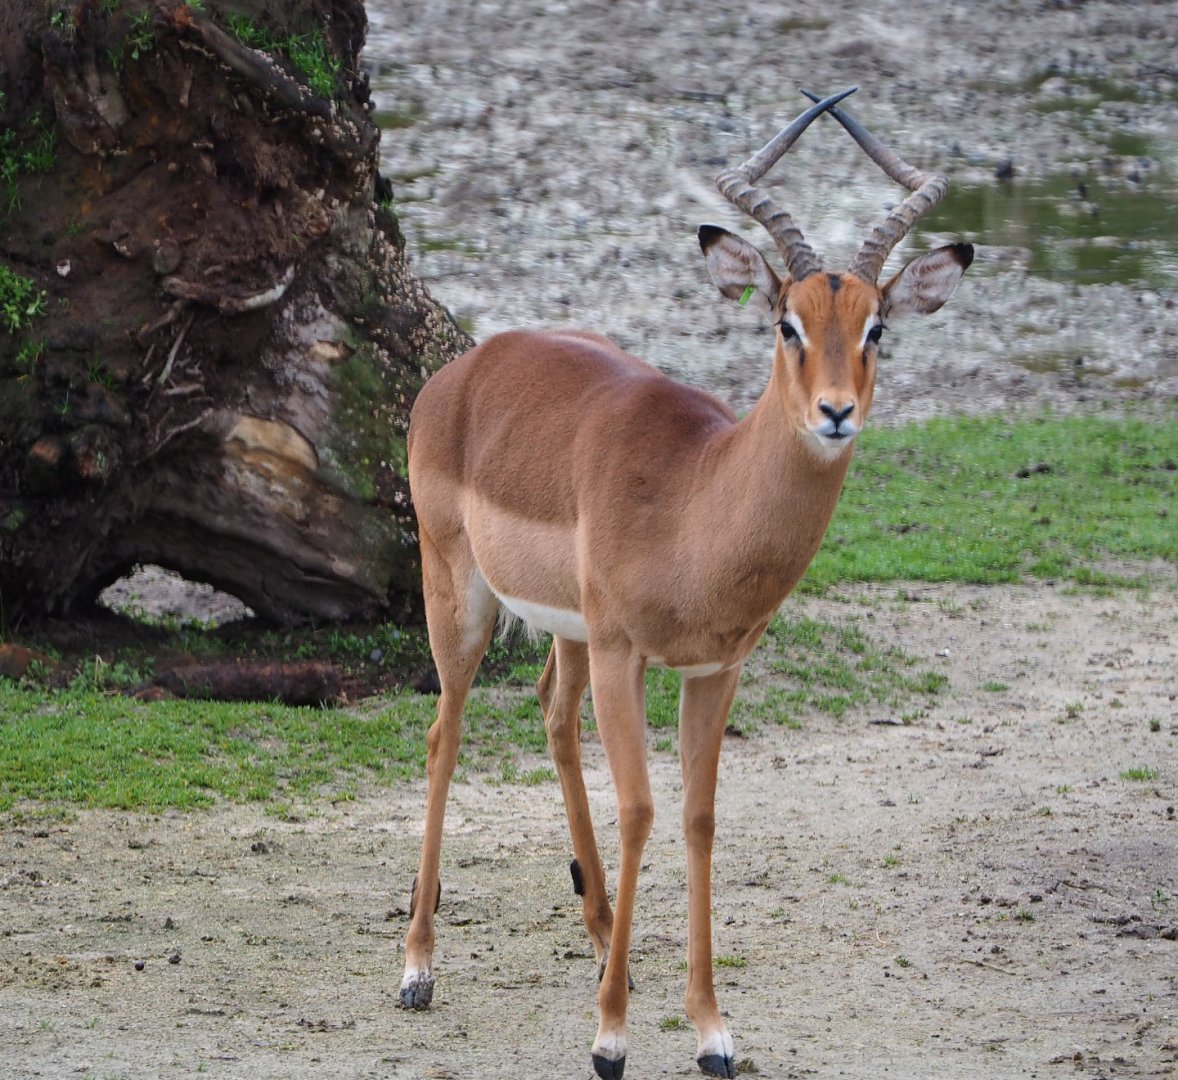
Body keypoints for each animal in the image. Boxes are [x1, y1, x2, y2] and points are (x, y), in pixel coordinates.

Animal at [400, 87, 972, 1079]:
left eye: (877, 328)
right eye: (785, 322)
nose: (835, 413)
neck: (695, 500)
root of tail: (465, 367)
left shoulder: (713, 670)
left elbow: (700, 818)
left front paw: (711, 1033)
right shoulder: (628, 654)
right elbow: (640, 809)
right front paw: (611, 1039)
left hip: (569, 634)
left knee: (552, 712)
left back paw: (602, 939)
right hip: (459, 596)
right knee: (445, 733)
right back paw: (418, 970)